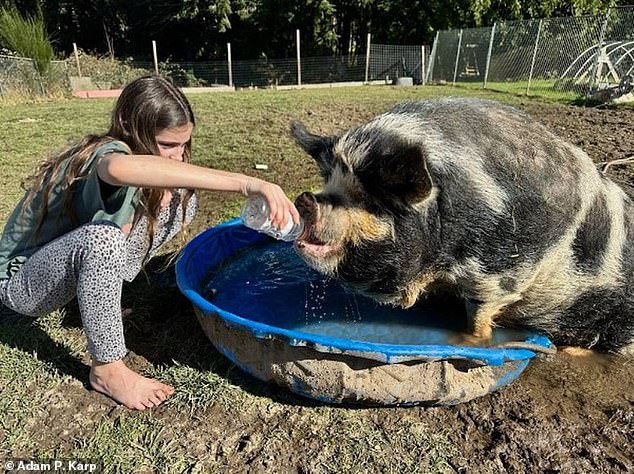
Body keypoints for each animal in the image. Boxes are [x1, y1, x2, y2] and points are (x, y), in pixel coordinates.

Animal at [290, 96, 632, 354]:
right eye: (329, 180)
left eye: (368, 199)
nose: (305, 198)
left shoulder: (504, 269)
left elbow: (480, 314)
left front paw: (460, 342)